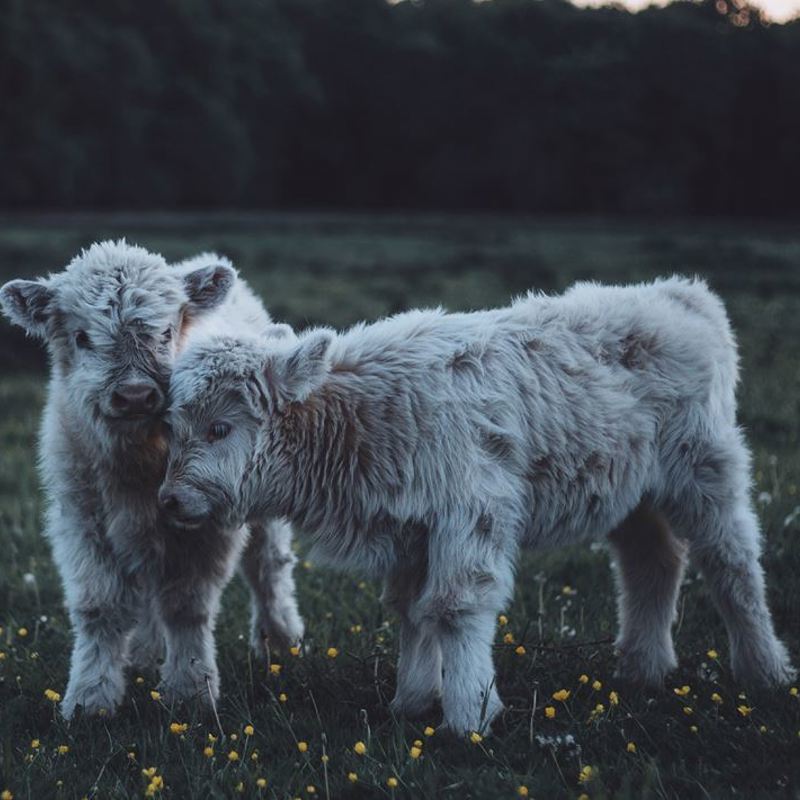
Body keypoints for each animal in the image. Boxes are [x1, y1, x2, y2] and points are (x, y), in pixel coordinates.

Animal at [0, 239, 304, 720]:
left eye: (165, 332)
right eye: (82, 337)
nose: (135, 395)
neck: (137, 467)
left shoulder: (206, 527)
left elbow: (186, 607)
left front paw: (191, 691)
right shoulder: (80, 520)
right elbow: (100, 608)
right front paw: (90, 697)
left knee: (267, 566)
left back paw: (279, 639)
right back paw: (143, 654)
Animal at [161, 278, 792, 736]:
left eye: (220, 428)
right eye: (172, 426)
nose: (169, 498)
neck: (362, 415)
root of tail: (680, 294)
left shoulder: (472, 514)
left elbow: (456, 606)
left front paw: (469, 716)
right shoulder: (412, 532)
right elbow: (411, 610)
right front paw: (411, 701)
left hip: (706, 472)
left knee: (733, 564)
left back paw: (765, 671)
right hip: (632, 495)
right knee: (653, 564)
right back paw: (644, 669)